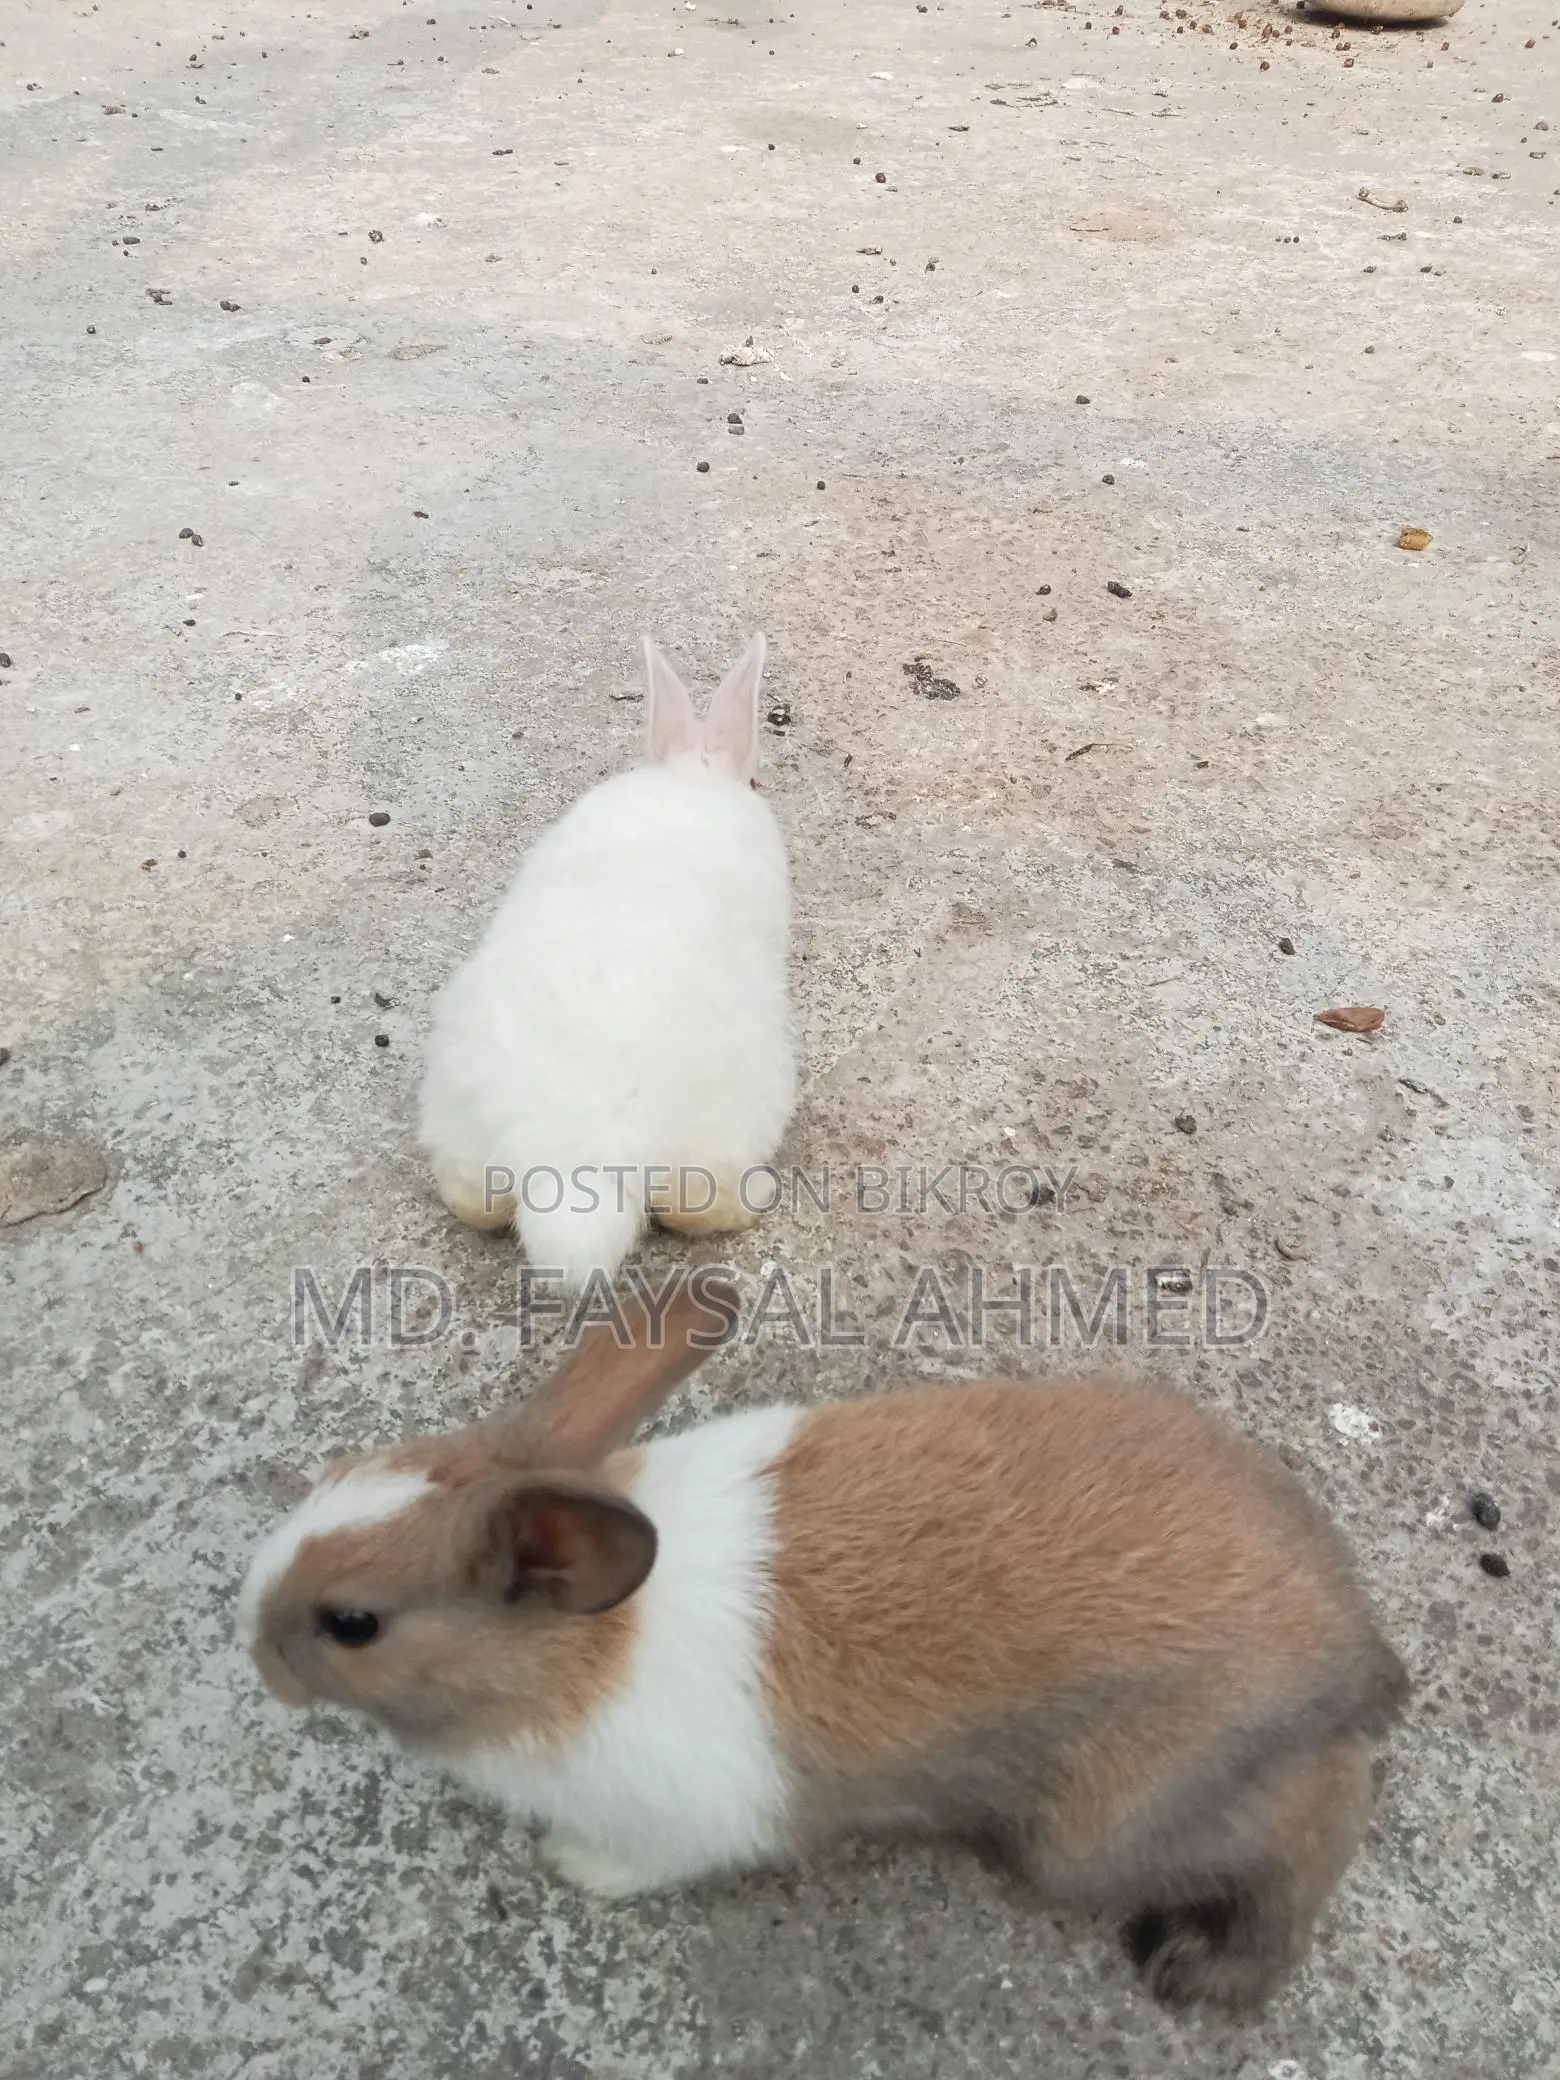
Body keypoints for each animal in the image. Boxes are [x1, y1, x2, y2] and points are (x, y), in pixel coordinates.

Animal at [240, 1274, 1408, 2014]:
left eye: (352, 1623)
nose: (254, 1652)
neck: (575, 1650)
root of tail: (1353, 1653)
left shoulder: (688, 1816)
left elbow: (643, 1858)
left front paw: (576, 1867)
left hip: (1103, 1832)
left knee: (1318, 1821)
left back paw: (1210, 1967)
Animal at [417, 633, 794, 1288]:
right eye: (754, 784)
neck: (690, 776)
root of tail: (578, 1162)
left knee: (473, 1201)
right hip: (735, 1114)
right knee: (695, 1206)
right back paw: (758, 1199)